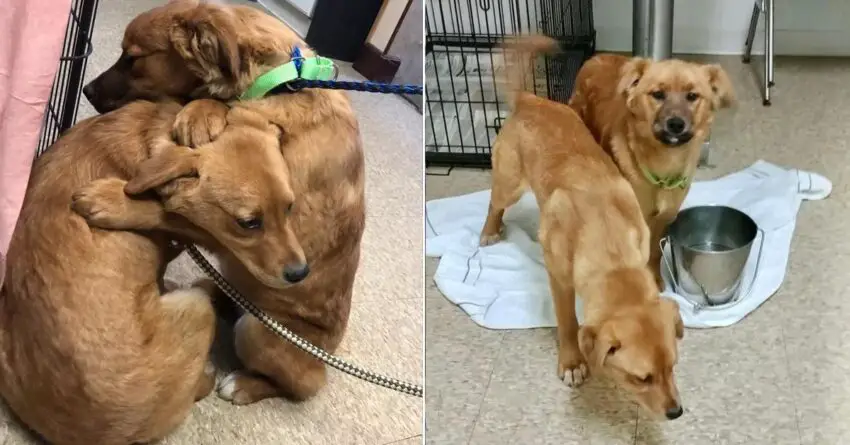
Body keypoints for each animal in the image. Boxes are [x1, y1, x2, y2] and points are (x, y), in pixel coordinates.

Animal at [0, 100, 304, 444]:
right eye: (248, 223)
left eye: (290, 207)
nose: (301, 273)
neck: (148, 140)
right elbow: (172, 217)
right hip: (197, 306)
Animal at [81, 0, 366, 402]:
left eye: (133, 58)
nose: (86, 90)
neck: (280, 82)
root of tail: (326, 355)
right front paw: (204, 111)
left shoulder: (250, 228)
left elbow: (165, 211)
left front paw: (114, 202)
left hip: (257, 332)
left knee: (302, 386)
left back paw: (245, 384)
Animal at [568, 53, 736, 286]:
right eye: (658, 94)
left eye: (692, 96)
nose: (676, 124)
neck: (663, 166)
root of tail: (596, 56)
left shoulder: (665, 219)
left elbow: (655, 253)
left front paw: (656, 279)